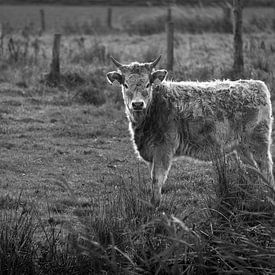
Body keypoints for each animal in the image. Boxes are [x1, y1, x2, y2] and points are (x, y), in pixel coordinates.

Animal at [106, 56, 274, 207]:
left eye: (148, 84)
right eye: (125, 85)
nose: (137, 104)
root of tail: (256, 84)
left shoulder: (163, 148)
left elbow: (157, 179)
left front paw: (154, 208)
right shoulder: (151, 152)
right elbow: (153, 181)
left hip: (258, 142)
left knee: (266, 169)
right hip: (243, 147)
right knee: (254, 171)